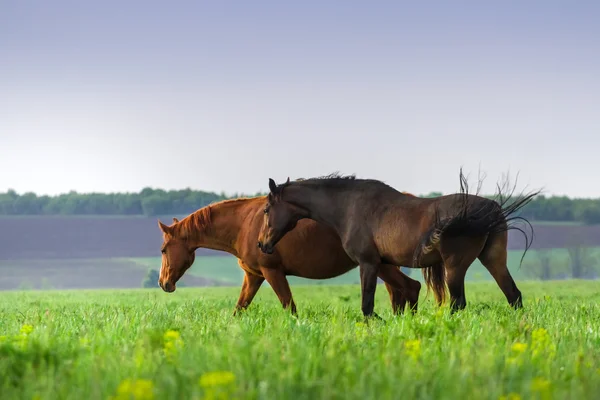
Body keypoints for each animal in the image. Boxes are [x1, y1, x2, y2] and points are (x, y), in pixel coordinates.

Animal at [155, 196, 422, 316]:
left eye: (163, 250)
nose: (163, 283)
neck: (244, 224)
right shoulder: (253, 276)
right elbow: (239, 309)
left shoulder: (272, 272)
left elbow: (289, 307)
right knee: (400, 292)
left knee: (411, 287)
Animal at [258, 170, 540, 318]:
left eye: (267, 209)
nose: (262, 244)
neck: (348, 207)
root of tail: (491, 209)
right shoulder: (383, 264)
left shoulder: (368, 263)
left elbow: (367, 305)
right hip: (493, 260)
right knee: (513, 295)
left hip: (455, 267)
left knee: (458, 303)